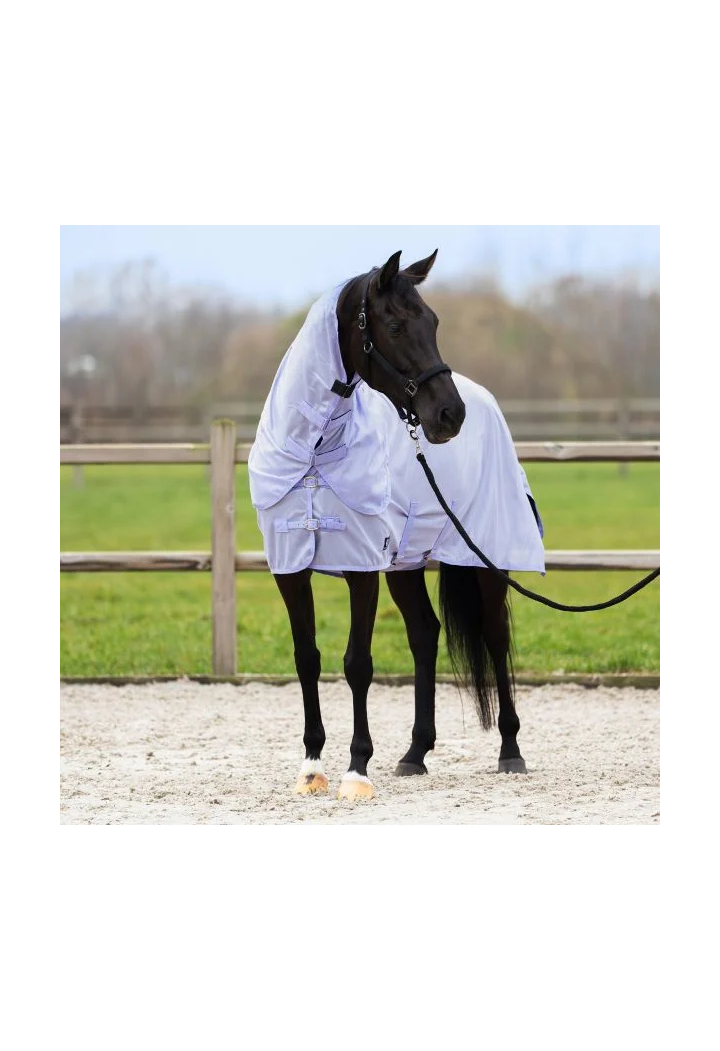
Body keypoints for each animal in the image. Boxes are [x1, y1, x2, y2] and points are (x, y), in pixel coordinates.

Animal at [248, 249, 545, 800]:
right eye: (395, 325)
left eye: (434, 322)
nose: (449, 415)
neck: (315, 449)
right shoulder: (290, 567)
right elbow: (307, 658)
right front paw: (311, 767)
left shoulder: (362, 567)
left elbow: (357, 664)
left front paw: (356, 770)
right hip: (406, 564)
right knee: (425, 635)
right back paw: (415, 754)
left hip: (486, 557)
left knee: (495, 637)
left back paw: (510, 751)